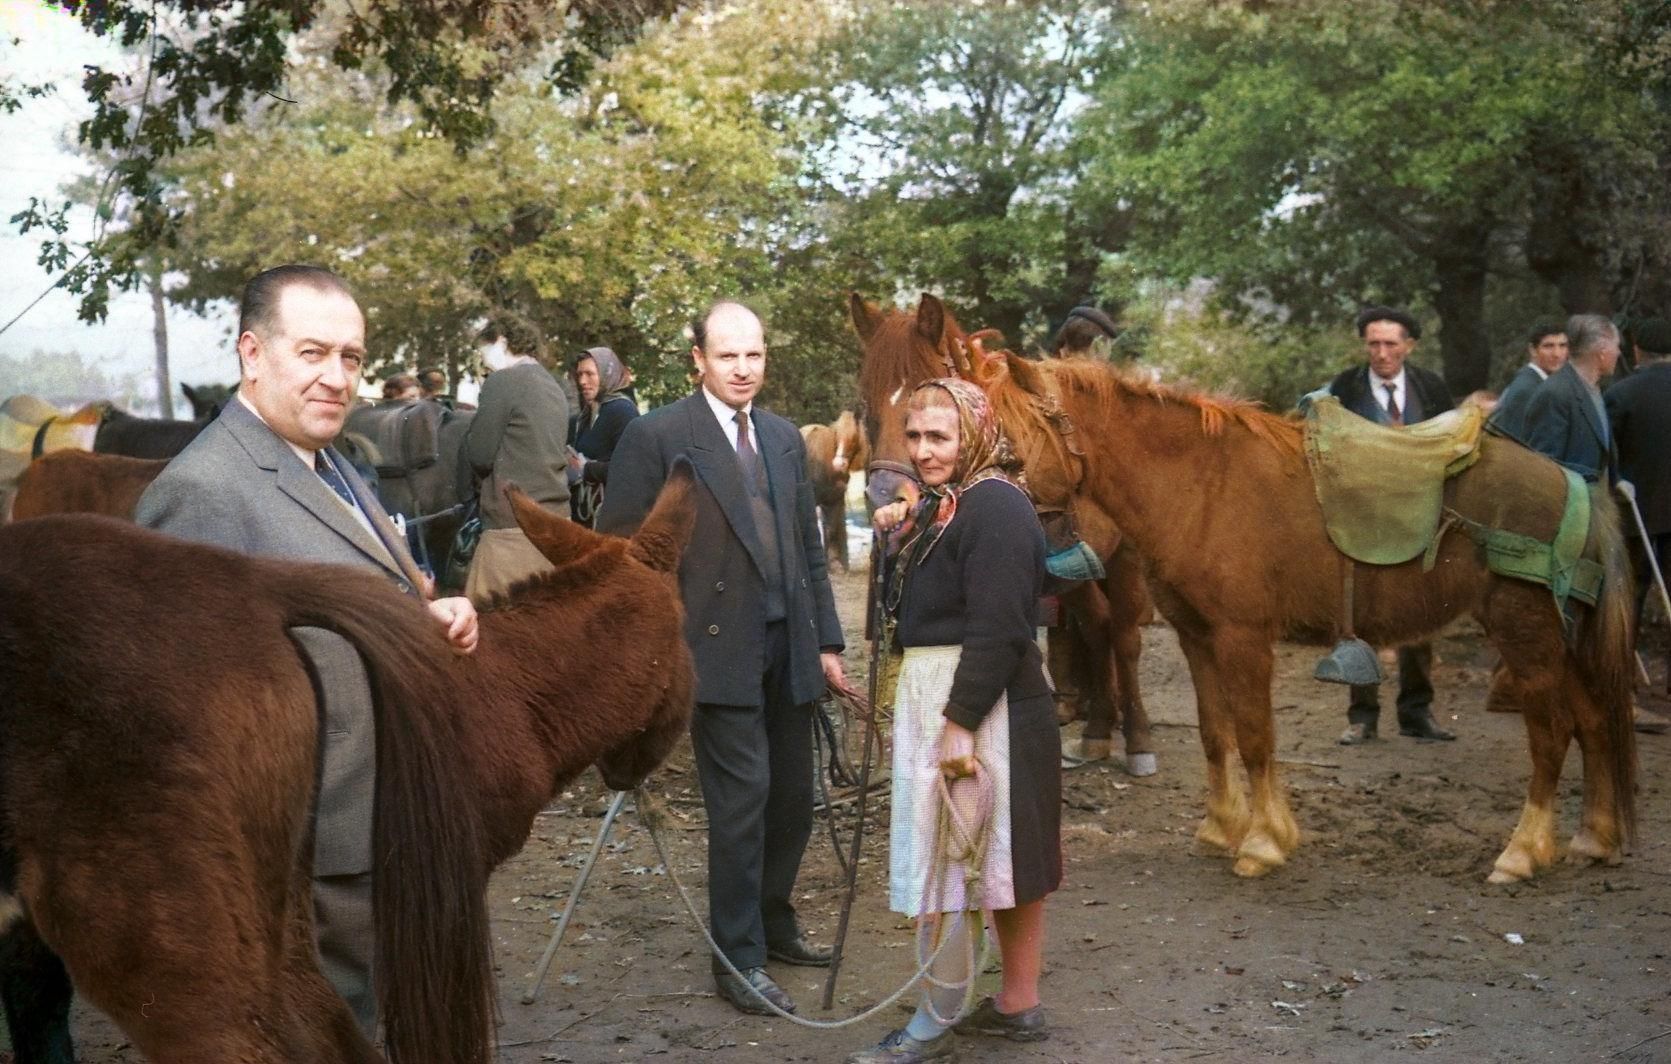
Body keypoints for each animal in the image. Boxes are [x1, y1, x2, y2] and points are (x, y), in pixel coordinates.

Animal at [848, 290, 1163, 771]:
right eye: (866, 403)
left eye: (924, 394)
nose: (886, 499)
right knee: (1099, 627)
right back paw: (1096, 730)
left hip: (1123, 557)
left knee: (1125, 637)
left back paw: (1138, 738)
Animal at [982, 354, 1637, 881]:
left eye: (1009, 446)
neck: (1201, 487)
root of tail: (1572, 482)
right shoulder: (1198, 637)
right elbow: (1216, 733)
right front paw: (1222, 828)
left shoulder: (1243, 639)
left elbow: (1254, 737)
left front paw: (1264, 842)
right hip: (1559, 640)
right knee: (1592, 721)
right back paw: (1594, 838)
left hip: (1526, 635)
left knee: (1552, 733)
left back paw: (1522, 852)